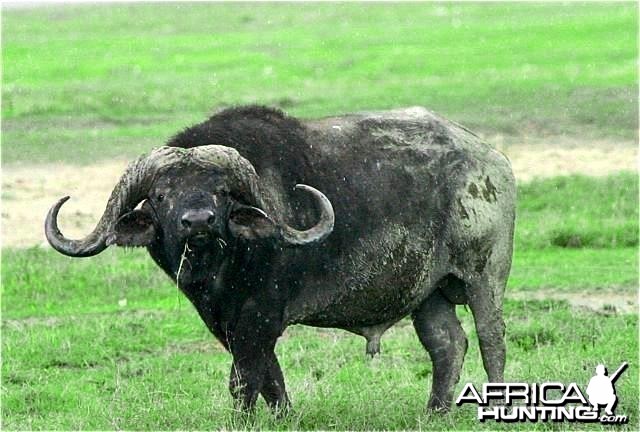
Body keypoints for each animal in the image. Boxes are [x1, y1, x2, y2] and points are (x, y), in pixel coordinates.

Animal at [45, 105, 515, 413]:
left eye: (221, 191)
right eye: (161, 195)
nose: (197, 221)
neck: (220, 271)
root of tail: (492, 160)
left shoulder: (261, 315)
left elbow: (244, 379)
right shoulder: (226, 323)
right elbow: (269, 376)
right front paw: (284, 416)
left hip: (485, 278)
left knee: (491, 341)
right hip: (428, 294)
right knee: (446, 344)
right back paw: (435, 410)